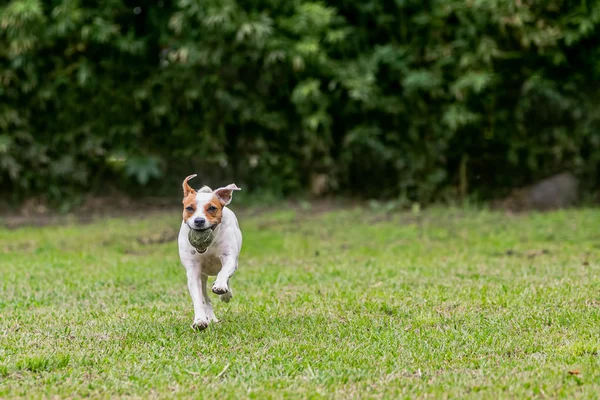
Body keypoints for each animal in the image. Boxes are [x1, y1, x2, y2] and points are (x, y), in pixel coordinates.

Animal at [177, 173, 243, 330]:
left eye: (212, 208)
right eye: (189, 208)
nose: (199, 221)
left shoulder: (229, 258)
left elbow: (224, 272)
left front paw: (220, 287)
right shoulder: (193, 271)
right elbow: (198, 298)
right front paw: (200, 320)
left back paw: (225, 293)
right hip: (202, 276)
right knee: (205, 298)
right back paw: (211, 317)